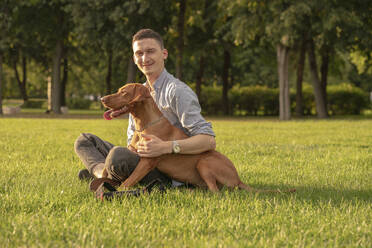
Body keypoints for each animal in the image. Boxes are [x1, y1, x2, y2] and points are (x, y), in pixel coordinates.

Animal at [100, 84, 294, 193]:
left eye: (123, 92)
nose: (101, 98)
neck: (145, 125)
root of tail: (238, 178)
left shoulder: (147, 160)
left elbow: (128, 181)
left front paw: (118, 191)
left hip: (204, 162)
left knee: (216, 192)